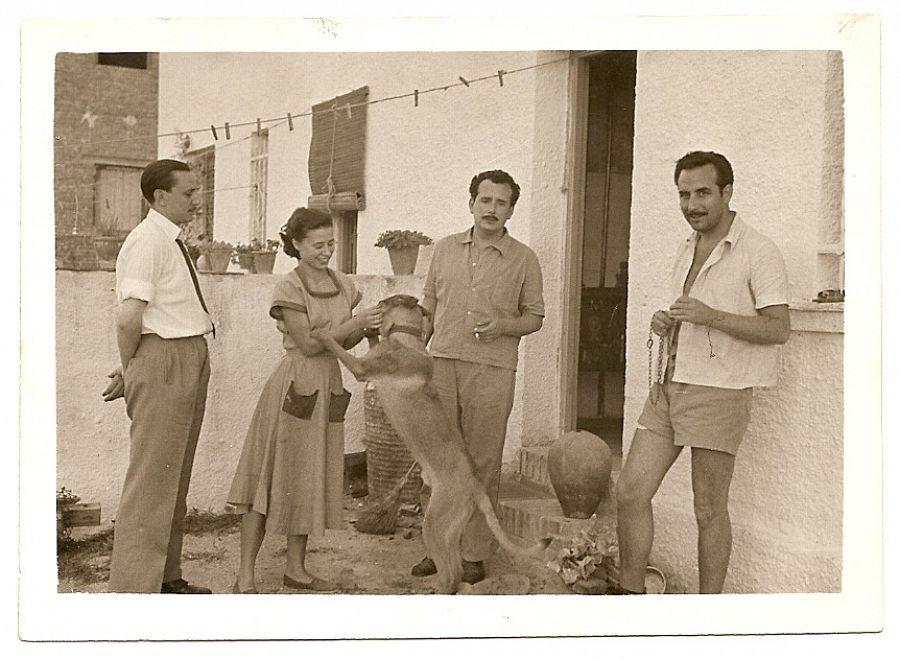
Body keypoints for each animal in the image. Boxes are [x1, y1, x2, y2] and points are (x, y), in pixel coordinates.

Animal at [310, 294, 548, 592]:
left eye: (383, 302)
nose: (367, 308)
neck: (406, 336)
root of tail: (476, 487)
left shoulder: (362, 368)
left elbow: (337, 346)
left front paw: (321, 333)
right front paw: (367, 332)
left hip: (435, 524)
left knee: (451, 575)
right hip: (448, 529)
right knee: (455, 571)